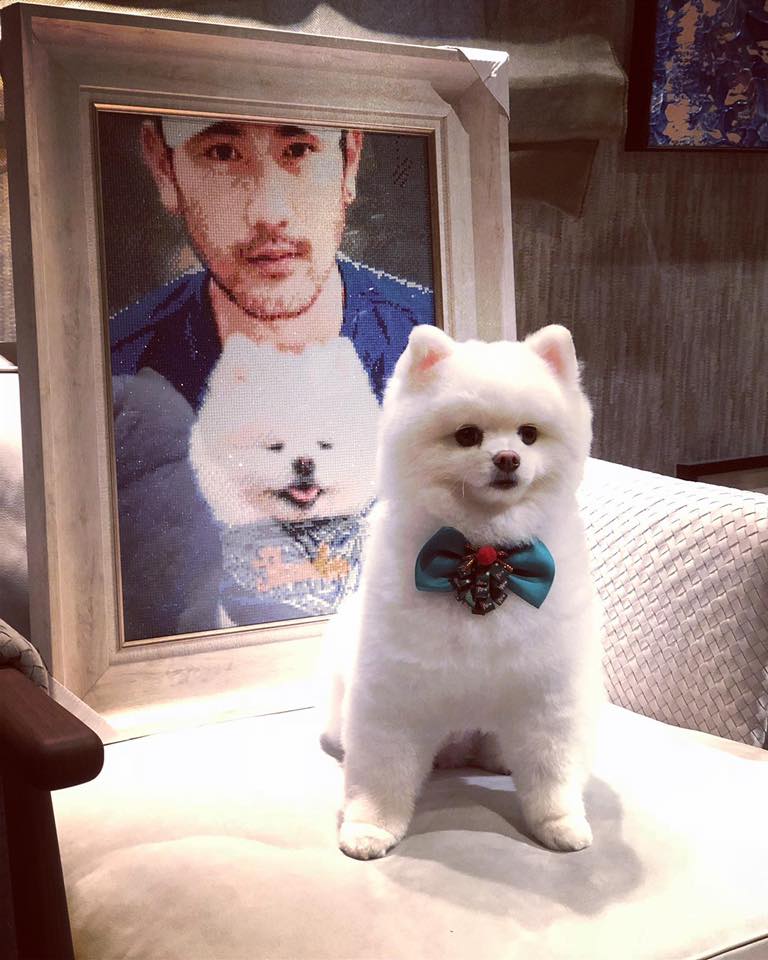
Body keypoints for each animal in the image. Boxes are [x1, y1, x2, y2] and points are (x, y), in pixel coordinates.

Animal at [321, 324, 603, 859]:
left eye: (529, 434)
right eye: (467, 435)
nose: (508, 458)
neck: (483, 559)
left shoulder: (543, 696)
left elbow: (552, 770)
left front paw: (560, 822)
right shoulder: (393, 695)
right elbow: (381, 773)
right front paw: (370, 827)